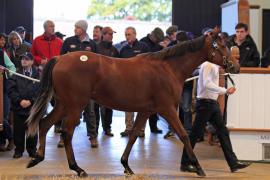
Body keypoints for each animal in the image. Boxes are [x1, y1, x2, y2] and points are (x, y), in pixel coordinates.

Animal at [26, 28, 239, 177]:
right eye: (220, 46)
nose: (236, 67)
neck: (168, 68)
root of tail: (60, 58)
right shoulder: (167, 109)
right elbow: (184, 135)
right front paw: (198, 168)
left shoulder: (146, 111)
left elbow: (134, 135)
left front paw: (126, 166)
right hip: (75, 106)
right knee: (67, 133)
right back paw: (78, 169)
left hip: (63, 105)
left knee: (44, 124)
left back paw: (37, 158)